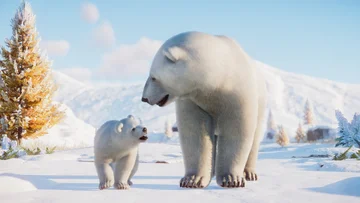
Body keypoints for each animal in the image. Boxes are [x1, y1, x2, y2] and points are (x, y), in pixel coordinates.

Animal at [142, 31, 266, 189]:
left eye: (153, 77)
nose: (144, 98)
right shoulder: (193, 99)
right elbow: (195, 132)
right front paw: (192, 180)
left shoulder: (237, 93)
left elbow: (236, 128)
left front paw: (231, 179)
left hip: (261, 104)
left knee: (255, 138)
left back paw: (249, 173)